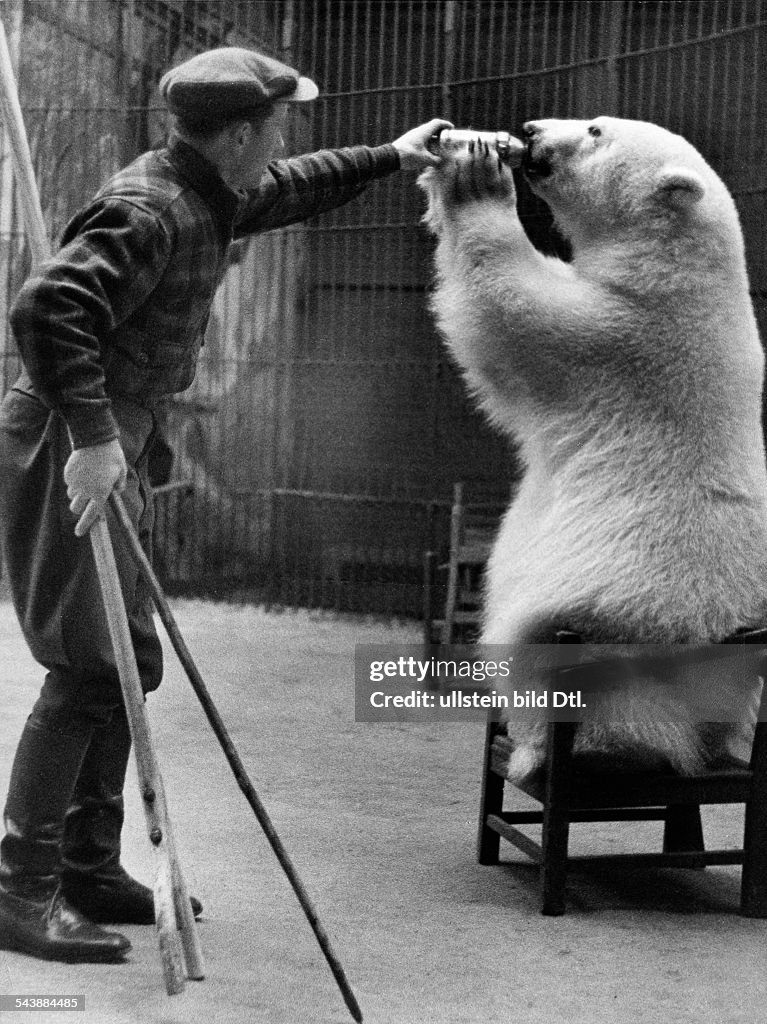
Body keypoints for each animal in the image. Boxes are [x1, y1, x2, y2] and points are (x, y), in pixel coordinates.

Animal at [419, 117, 765, 774]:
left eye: (596, 130)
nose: (530, 131)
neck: (679, 272)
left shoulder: (623, 340)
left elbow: (511, 313)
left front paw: (473, 180)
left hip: (609, 611)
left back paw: (555, 748)